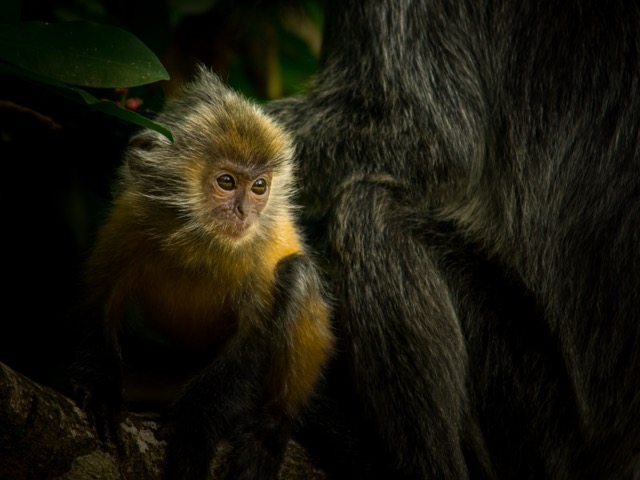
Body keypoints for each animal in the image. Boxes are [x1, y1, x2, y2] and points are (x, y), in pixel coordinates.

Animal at [67, 65, 334, 480]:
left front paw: (193, 432)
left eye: (259, 186)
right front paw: (100, 389)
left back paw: (271, 429)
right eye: (227, 182)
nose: (244, 212)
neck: (202, 238)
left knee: (297, 273)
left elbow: (250, 347)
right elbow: (98, 301)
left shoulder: (261, 252)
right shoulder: (130, 218)